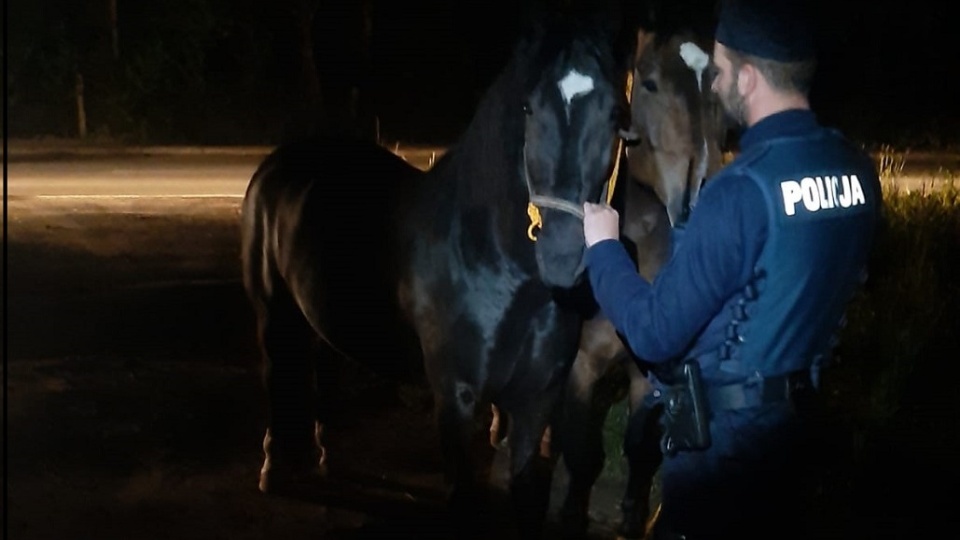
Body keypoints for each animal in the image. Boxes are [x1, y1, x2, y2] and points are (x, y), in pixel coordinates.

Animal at [239, 5, 632, 540]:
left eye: (613, 113)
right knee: (277, 375)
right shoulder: (456, 398)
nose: (563, 254)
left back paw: (322, 453)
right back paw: (275, 467)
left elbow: (527, 490)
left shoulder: (535, 402)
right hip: (272, 314)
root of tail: (276, 166)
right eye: (528, 108)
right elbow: (464, 500)